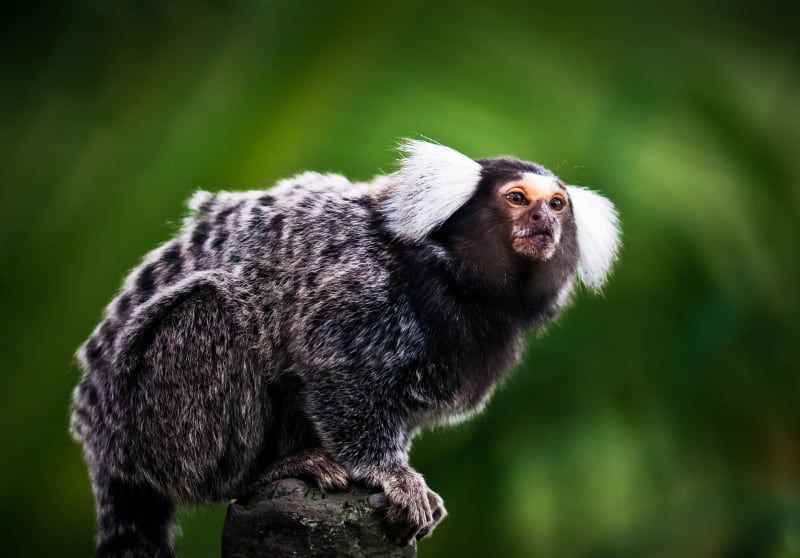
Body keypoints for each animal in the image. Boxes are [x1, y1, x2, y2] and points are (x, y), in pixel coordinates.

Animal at [70, 140, 620, 556]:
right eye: (518, 198)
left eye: (557, 204)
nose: (544, 221)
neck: (455, 280)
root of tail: (99, 447)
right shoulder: (364, 287)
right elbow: (336, 374)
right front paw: (390, 474)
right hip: (144, 417)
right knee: (210, 308)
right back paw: (253, 475)